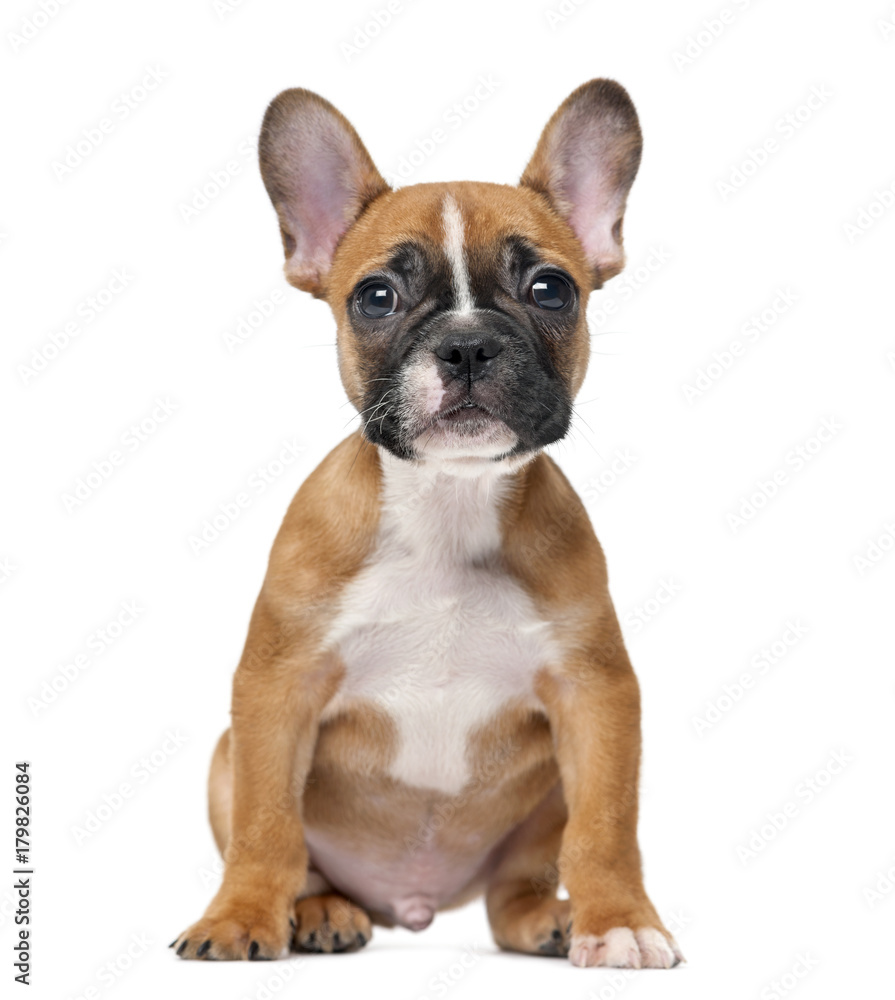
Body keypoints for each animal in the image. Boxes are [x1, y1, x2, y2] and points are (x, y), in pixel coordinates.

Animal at [172, 78, 684, 968]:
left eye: (551, 289)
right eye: (376, 297)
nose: (467, 344)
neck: (448, 502)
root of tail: (412, 905)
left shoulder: (594, 698)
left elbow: (606, 825)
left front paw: (619, 919)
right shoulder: (275, 692)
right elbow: (266, 827)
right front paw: (237, 918)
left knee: (514, 888)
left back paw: (547, 917)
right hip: (224, 758)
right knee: (299, 856)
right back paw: (321, 912)